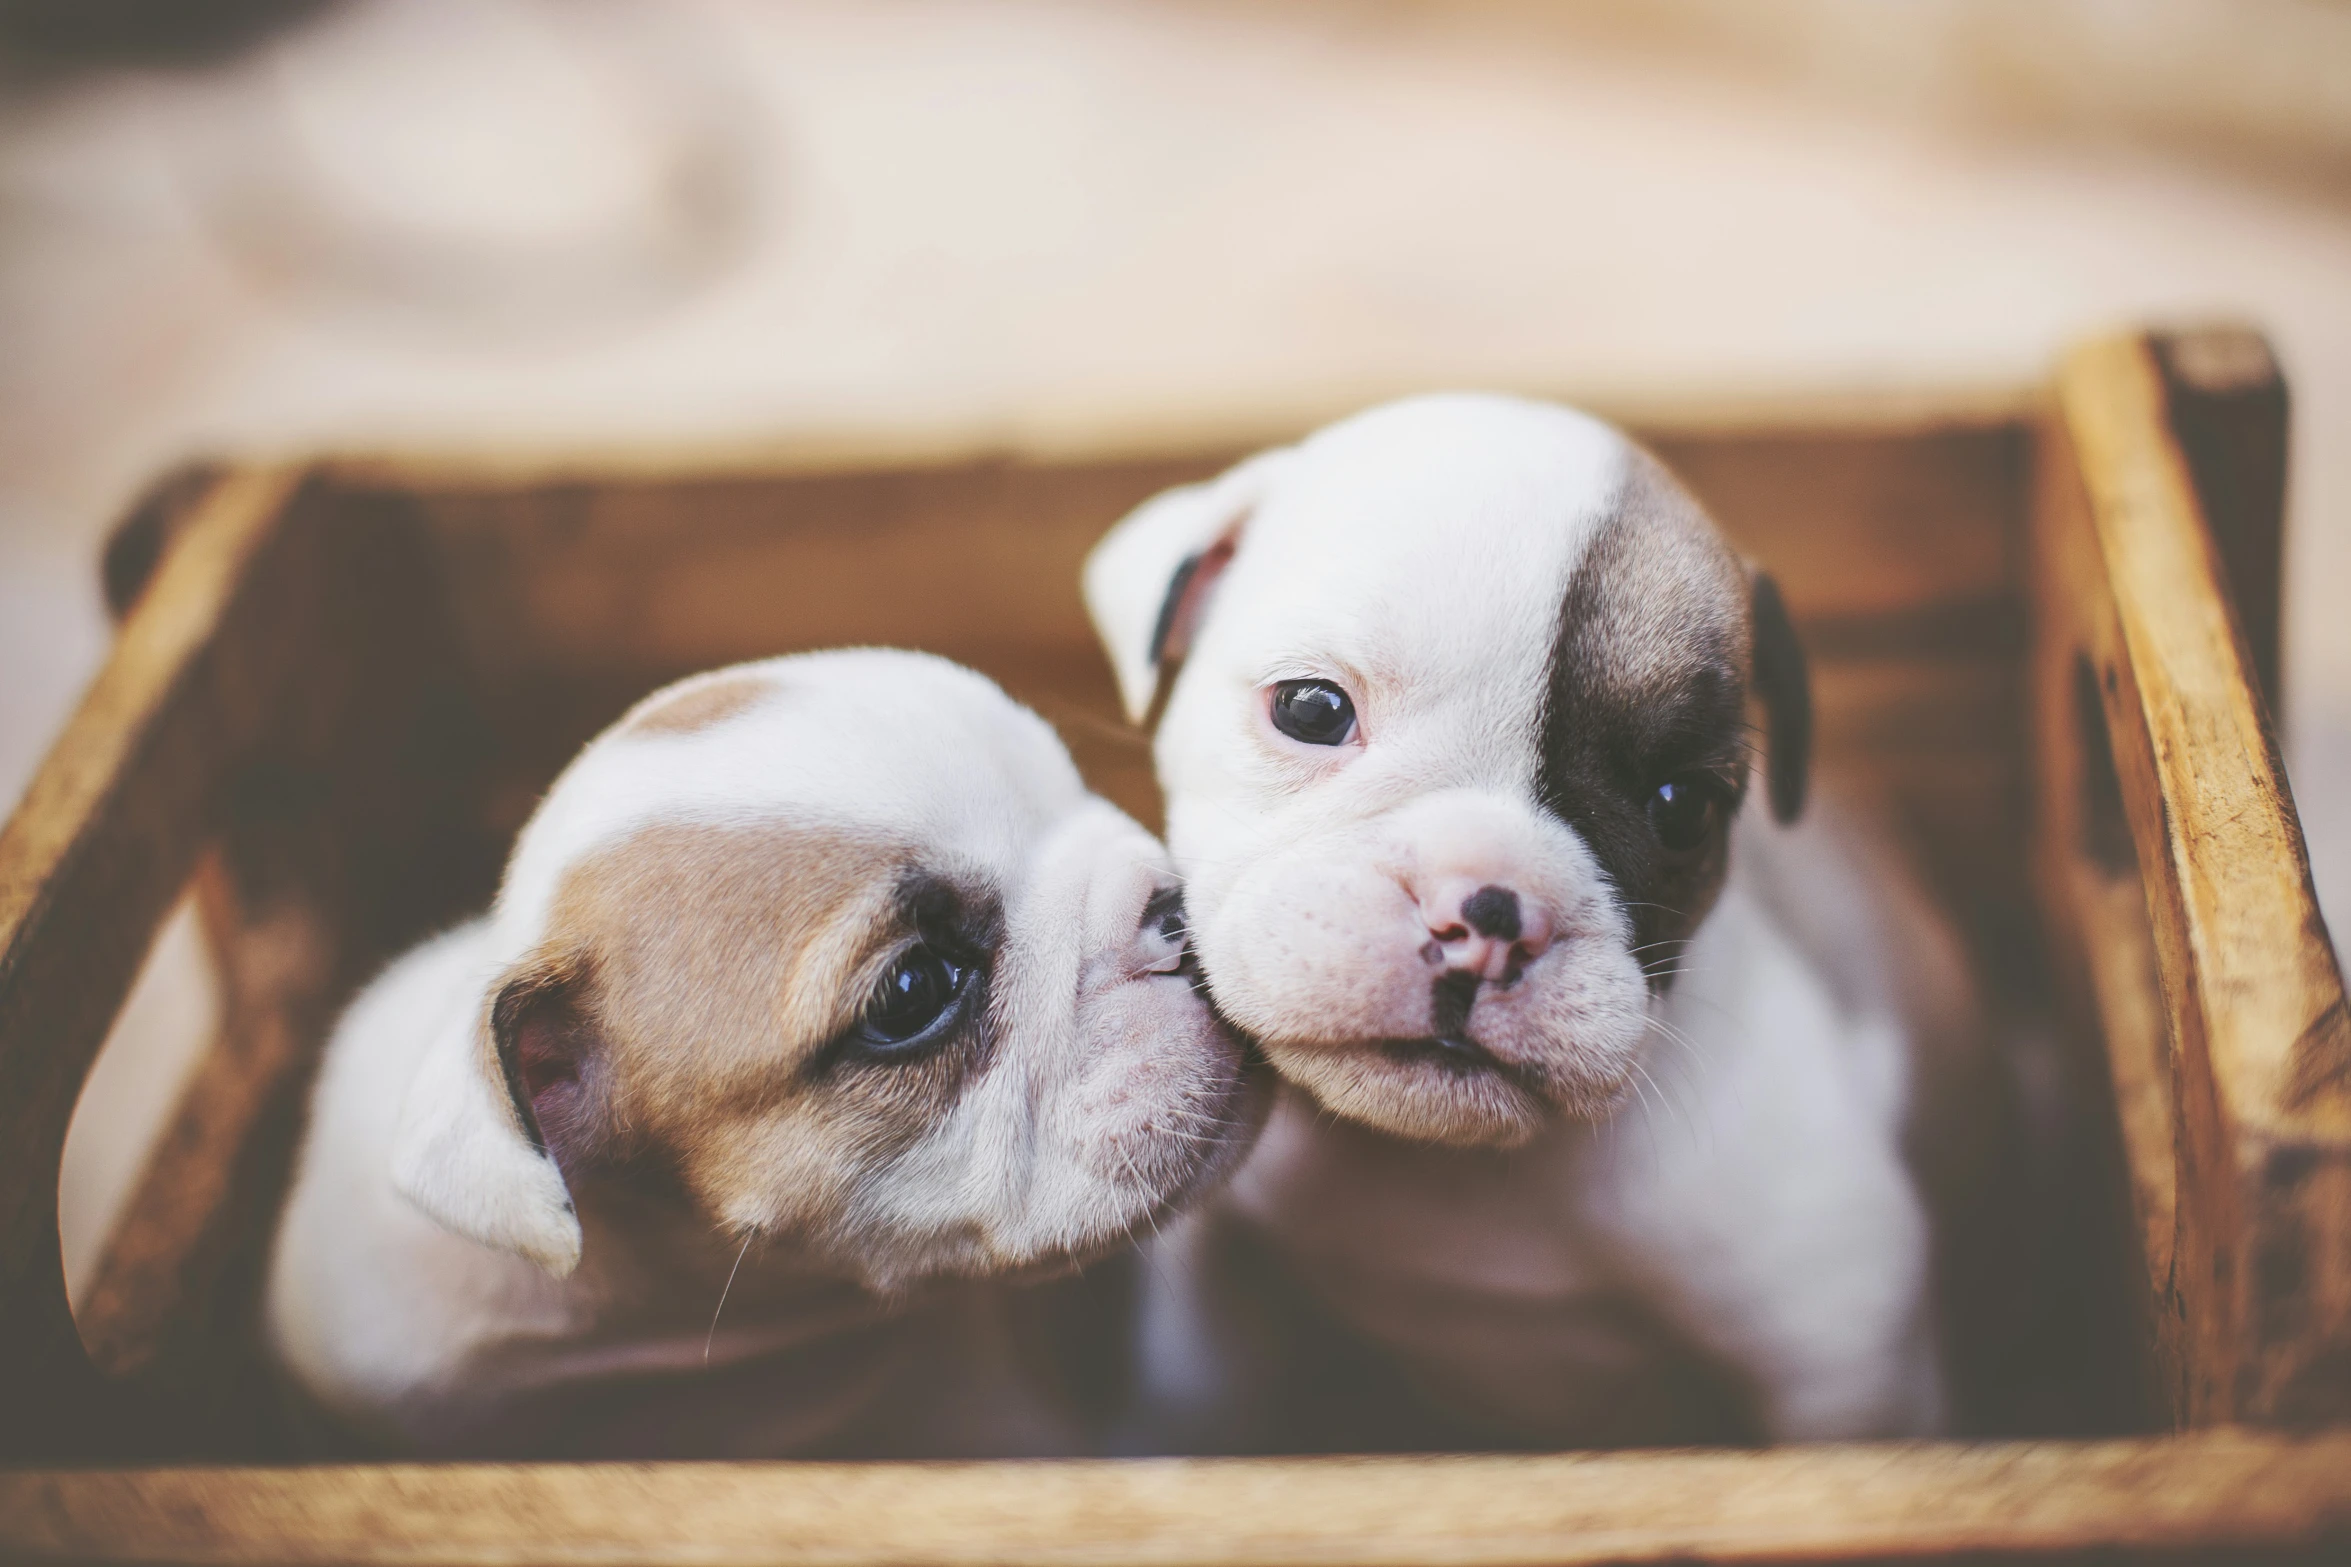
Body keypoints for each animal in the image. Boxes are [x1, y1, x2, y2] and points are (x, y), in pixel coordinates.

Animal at [1090, 399, 1974, 1456]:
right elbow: (1197, 1395)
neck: (1453, 1167)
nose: (1485, 914)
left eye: (1683, 807)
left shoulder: (1844, 1341)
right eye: (1309, 708)